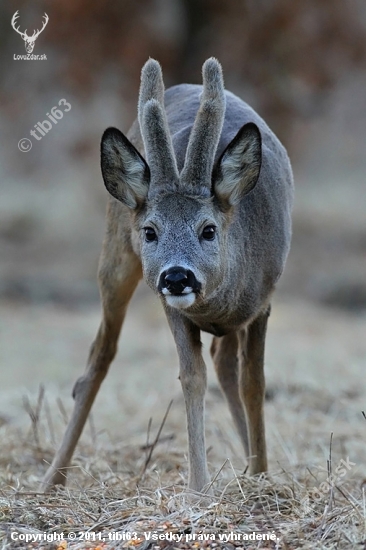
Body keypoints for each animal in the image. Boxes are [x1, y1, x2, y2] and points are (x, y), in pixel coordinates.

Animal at [42, 58, 294, 494]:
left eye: (208, 229)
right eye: (150, 231)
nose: (177, 277)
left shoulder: (263, 302)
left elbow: (254, 384)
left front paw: (261, 474)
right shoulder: (173, 307)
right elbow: (192, 378)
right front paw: (199, 487)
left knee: (225, 360)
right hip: (115, 255)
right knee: (100, 355)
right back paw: (51, 480)